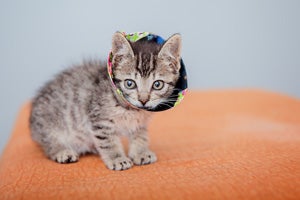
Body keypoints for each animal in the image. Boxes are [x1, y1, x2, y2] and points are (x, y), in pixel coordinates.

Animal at [29, 32, 182, 170]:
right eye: (130, 83)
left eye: (157, 84)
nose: (143, 100)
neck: (131, 109)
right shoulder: (100, 120)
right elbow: (108, 141)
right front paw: (117, 159)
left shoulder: (139, 123)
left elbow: (141, 136)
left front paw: (141, 152)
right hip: (50, 125)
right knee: (49, 142)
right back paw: (62, 151)